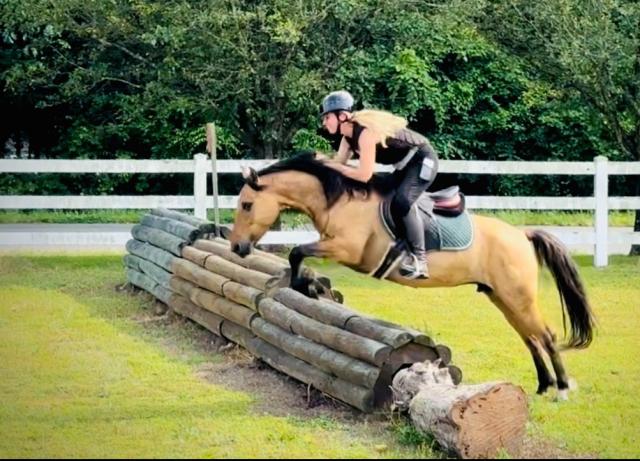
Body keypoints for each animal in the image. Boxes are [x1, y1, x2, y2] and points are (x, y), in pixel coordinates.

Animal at [228, 153, 596, 399]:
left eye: (246, 205)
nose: (237, 247)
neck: (338, 199)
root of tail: (522, 235)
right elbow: (299, 253)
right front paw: (310, 285)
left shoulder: (347, 249)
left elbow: (296, 252)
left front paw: (304, 285)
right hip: (502, 297)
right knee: (530, 337)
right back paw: (543, 385)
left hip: (517, 296)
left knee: (546, 335)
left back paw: (562, 389)